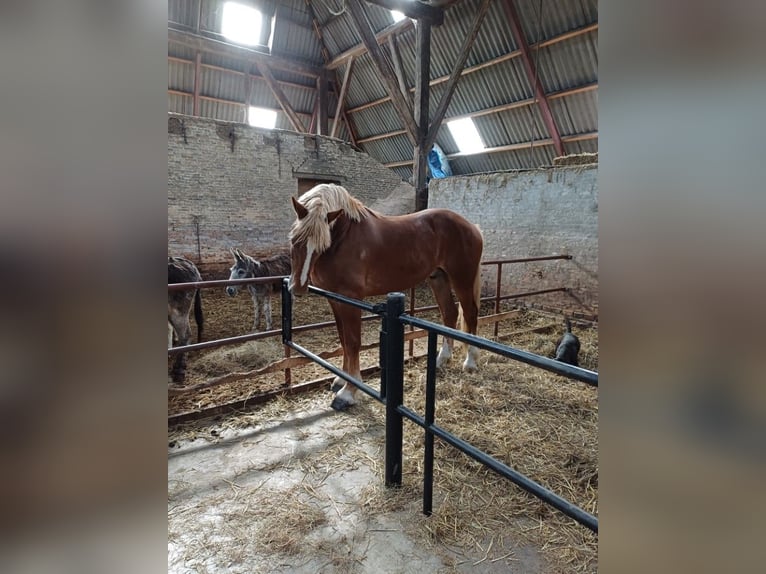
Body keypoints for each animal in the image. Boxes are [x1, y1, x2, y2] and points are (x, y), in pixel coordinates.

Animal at [292, 184, 484, 414]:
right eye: (295, 241)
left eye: (321, 246)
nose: (298, 288)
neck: (344, 237)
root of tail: (472, 226)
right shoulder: (335, 299)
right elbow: (343, 340)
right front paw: (341, 380)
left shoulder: (351, 297)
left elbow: (353, 342)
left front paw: (348, 393)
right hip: (439, 277)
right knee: (450, 313)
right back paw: (441, 359)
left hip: (462, 278)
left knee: (470, 314)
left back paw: (470, 362)